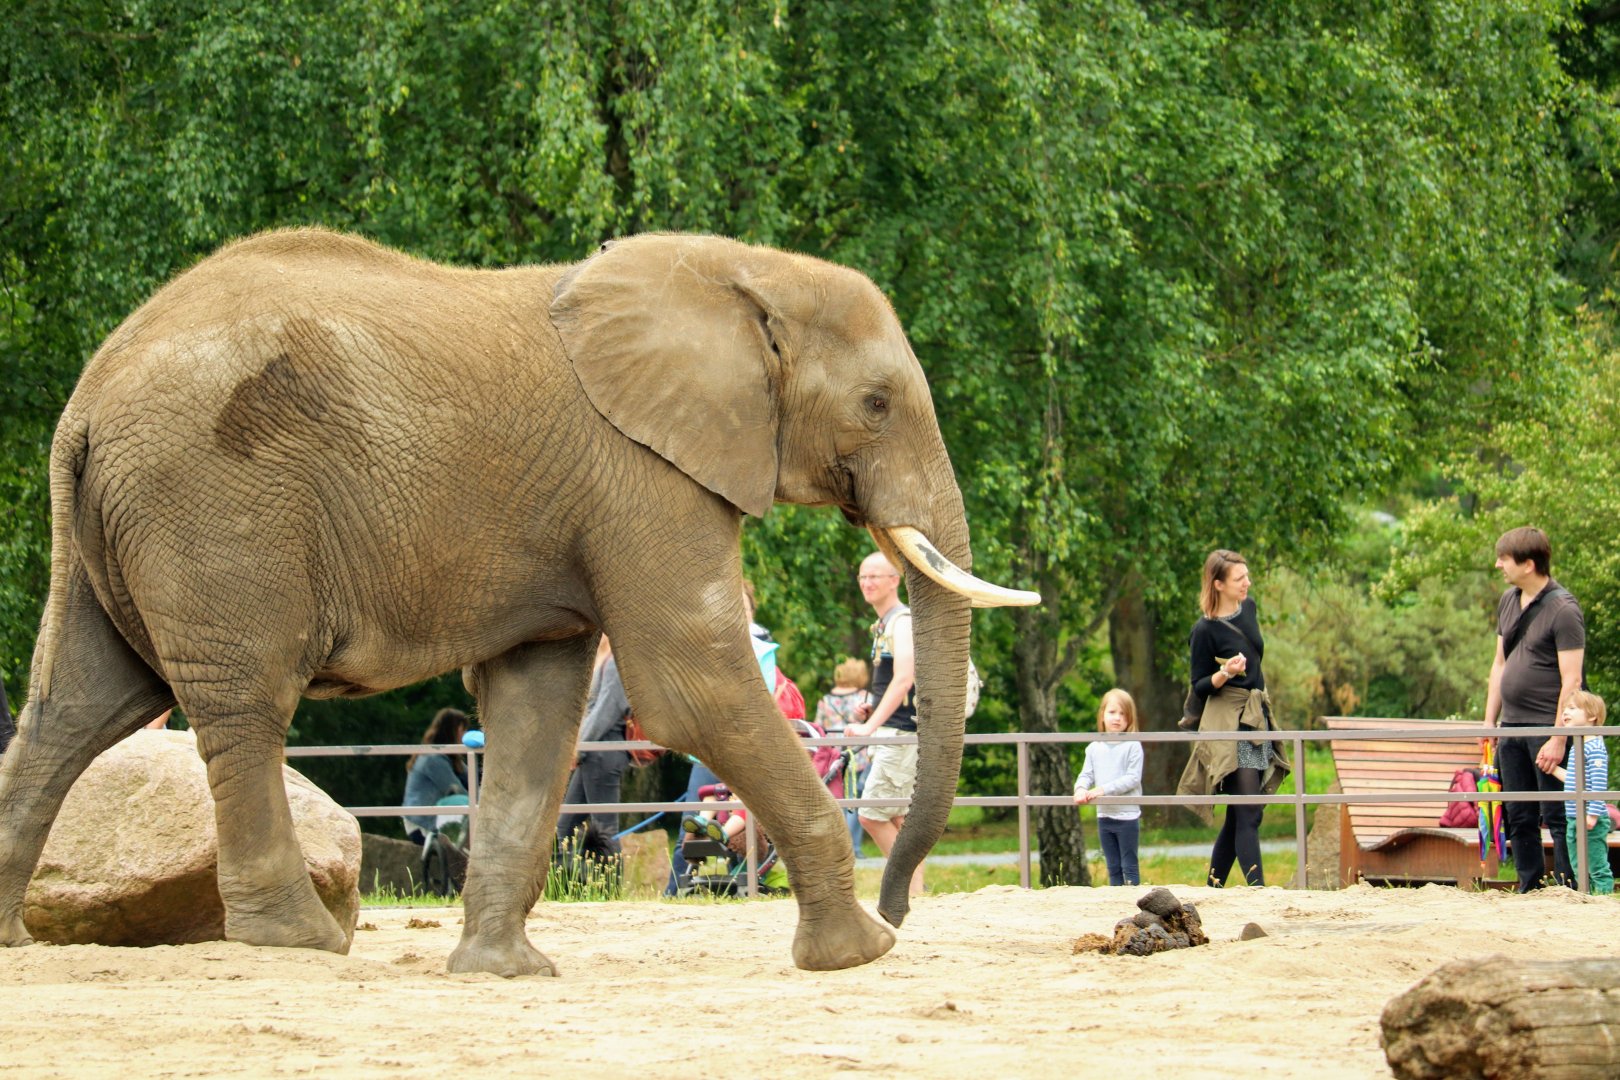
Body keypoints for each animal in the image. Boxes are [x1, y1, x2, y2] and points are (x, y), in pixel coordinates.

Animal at [0, 228, 1037, 975]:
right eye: (876, 404)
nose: (902, 904)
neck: (743, 272)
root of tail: (85, 401)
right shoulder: (643, 474)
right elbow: (690, 686)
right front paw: (857, 955)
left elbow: (538, 702)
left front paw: (502, 970)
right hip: (214, 506)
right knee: (241, 707)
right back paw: (301, 941)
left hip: (118, 528)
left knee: (78, 709)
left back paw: (13, 939)